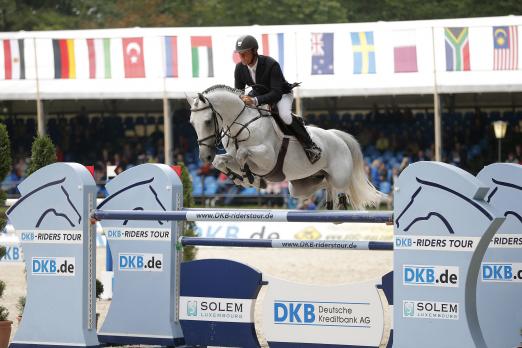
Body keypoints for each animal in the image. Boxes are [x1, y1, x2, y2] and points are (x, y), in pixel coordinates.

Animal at [187, 84, 378, 209]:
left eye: (207, 121)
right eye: (191, 123)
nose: (204, 157)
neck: (242, 123)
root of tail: (337, 136)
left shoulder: (267, 159)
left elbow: (243, 154)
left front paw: (251, 179)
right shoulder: (232, 156)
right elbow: (220, 161)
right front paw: (241, 178)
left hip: (339, 176)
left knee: (340, 186)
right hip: (301, 187)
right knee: (324, 183)